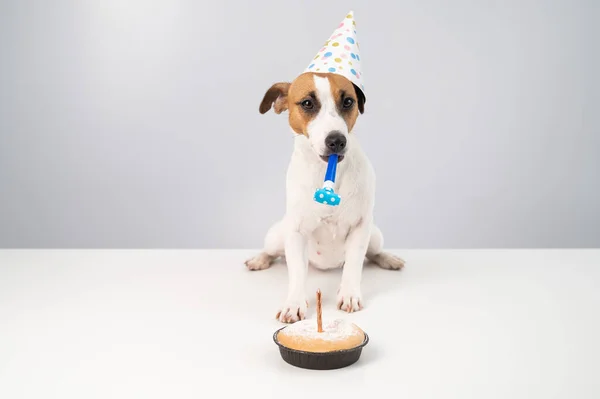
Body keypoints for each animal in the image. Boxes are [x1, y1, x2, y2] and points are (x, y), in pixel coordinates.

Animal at [246, 72, 406, 324]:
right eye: (307, 103)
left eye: (348, 101)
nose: (337, 140)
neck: (327, 172)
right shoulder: (295, 231)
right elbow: (297, 271)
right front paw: (294, 303)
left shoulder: (361, 226)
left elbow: (354, 264)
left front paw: (349, 294)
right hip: (275, 235)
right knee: (272, 252)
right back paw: (259, 259)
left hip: (375, 235)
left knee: (372, 253)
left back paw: (388, 258)